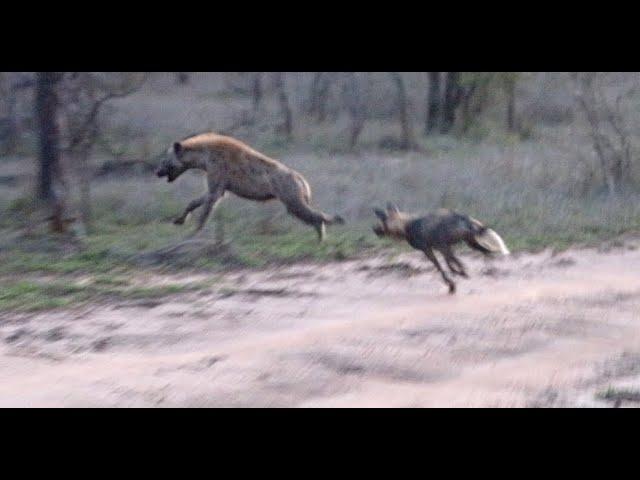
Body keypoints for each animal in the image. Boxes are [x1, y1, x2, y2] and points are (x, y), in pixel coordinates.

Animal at [156, 133, 344, 242]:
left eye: (165, 161)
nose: (157, 172)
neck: (204, 156)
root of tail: (301, 179)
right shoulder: (218, 186)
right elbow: (195, 202)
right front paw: (179, 221)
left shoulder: (217, 179)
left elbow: (206, 208)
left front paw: (193, 233)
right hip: (293, 200)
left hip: (291, 199)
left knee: (315, 215)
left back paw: (323, 236)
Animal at [372, 202, 508, 292]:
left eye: (381, 221)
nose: (374, 229)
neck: (405, 225)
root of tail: (462, 217)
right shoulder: (435, 249)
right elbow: (442, 267)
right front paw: (452, 284)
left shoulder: (429, 250)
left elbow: (443, 267)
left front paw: (452, 283)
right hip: (468, 243)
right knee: (487, 252)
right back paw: (489, 271)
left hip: (446, 246)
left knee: (456, 262)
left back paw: (464, 273)